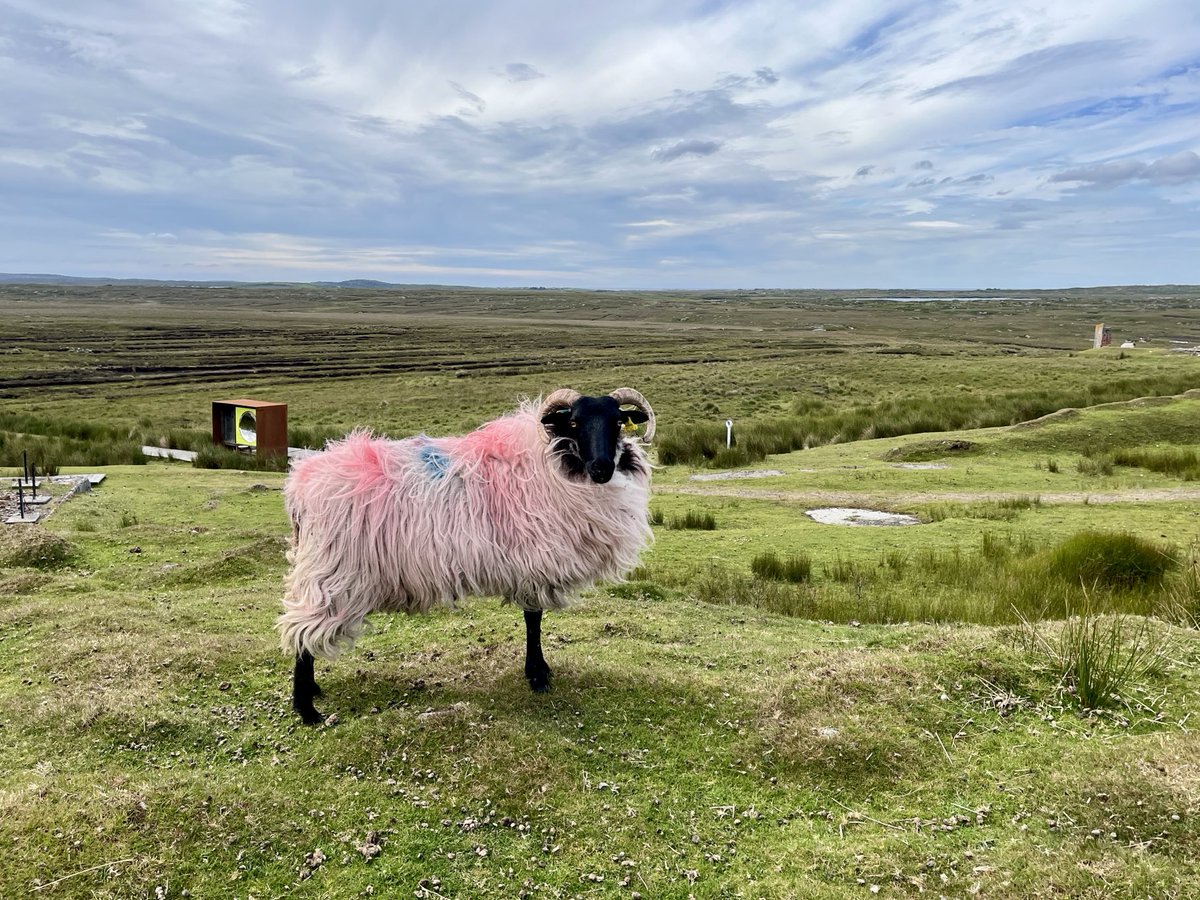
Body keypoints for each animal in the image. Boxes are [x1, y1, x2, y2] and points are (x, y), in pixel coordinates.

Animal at [278, 388, 656, 724]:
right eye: (575, 423)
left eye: (618, 422)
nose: (602, 468)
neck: (551, 463)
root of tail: (300, 486)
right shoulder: (533, 560)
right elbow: (533, 620)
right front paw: (537, 676)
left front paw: (539, 671)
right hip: (333, 569)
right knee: (302, 630)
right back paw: (307, 709)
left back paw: (313, 693)